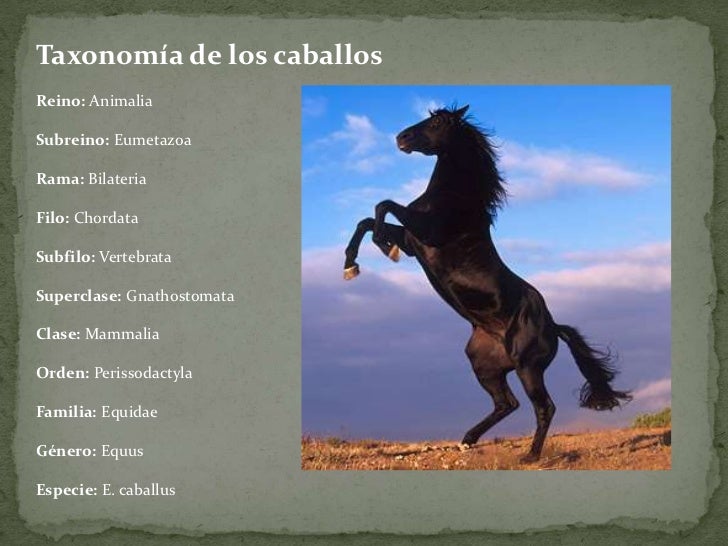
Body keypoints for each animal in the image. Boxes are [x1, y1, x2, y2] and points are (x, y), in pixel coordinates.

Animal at [342, 105, 631, 462]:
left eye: (438, 122)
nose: (401, 138)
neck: (454, 199)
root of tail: (554, 326)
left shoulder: (425, 232)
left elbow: (383, 206)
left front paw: (382, 246)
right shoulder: (413, 242)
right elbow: (366, 220)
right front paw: (351, 265)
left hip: (527, 367)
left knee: (543, 407)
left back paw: (530, 456)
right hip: (484, 365)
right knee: (507, 403)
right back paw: (467, 440)